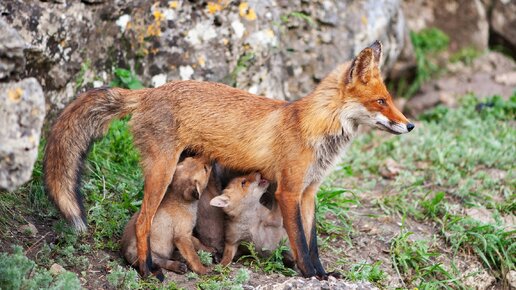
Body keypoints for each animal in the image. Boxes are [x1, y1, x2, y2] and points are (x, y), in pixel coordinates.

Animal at [45, 40, 416, 278]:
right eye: (381, 101)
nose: (410, 125)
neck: (315, 130)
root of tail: (148, 92)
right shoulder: (288, 191)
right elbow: (298, 241)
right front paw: (311, 276)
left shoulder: (309, 193)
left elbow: (312, 243)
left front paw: (325, 274)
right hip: (162, 172)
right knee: (142, 222)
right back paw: (148, 271)